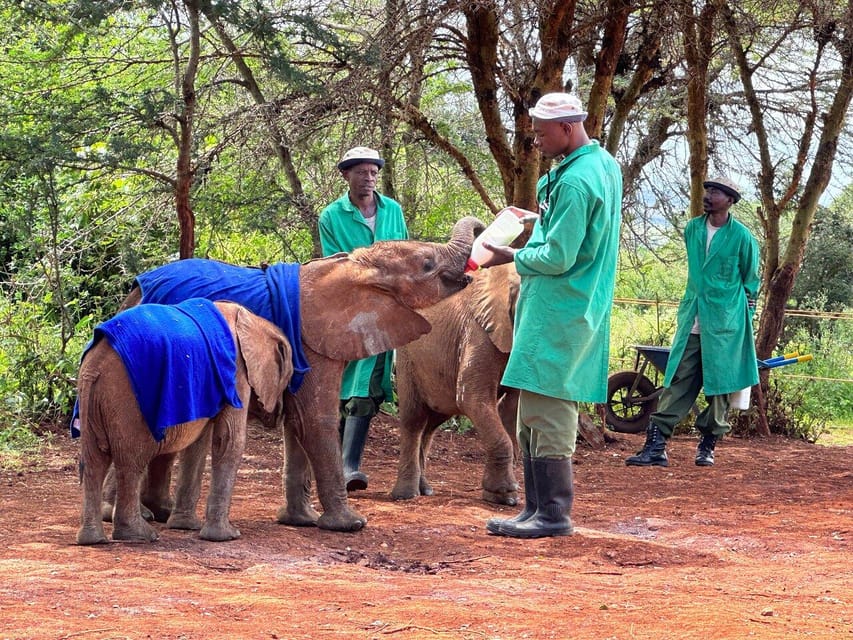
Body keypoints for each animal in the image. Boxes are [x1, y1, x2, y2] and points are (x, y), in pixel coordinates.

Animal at [75, 300, 292, 544]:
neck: (254, 321)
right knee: (131, 463)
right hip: (126, 401)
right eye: (288, 376)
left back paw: (93, 539)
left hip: (93, 397)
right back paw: (140, 535)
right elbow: (228, 441)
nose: (279, 413)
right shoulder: (237, 373)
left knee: (94, 462)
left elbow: (197, 445)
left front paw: (185, 526)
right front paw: (226, 536)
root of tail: (94, 366)